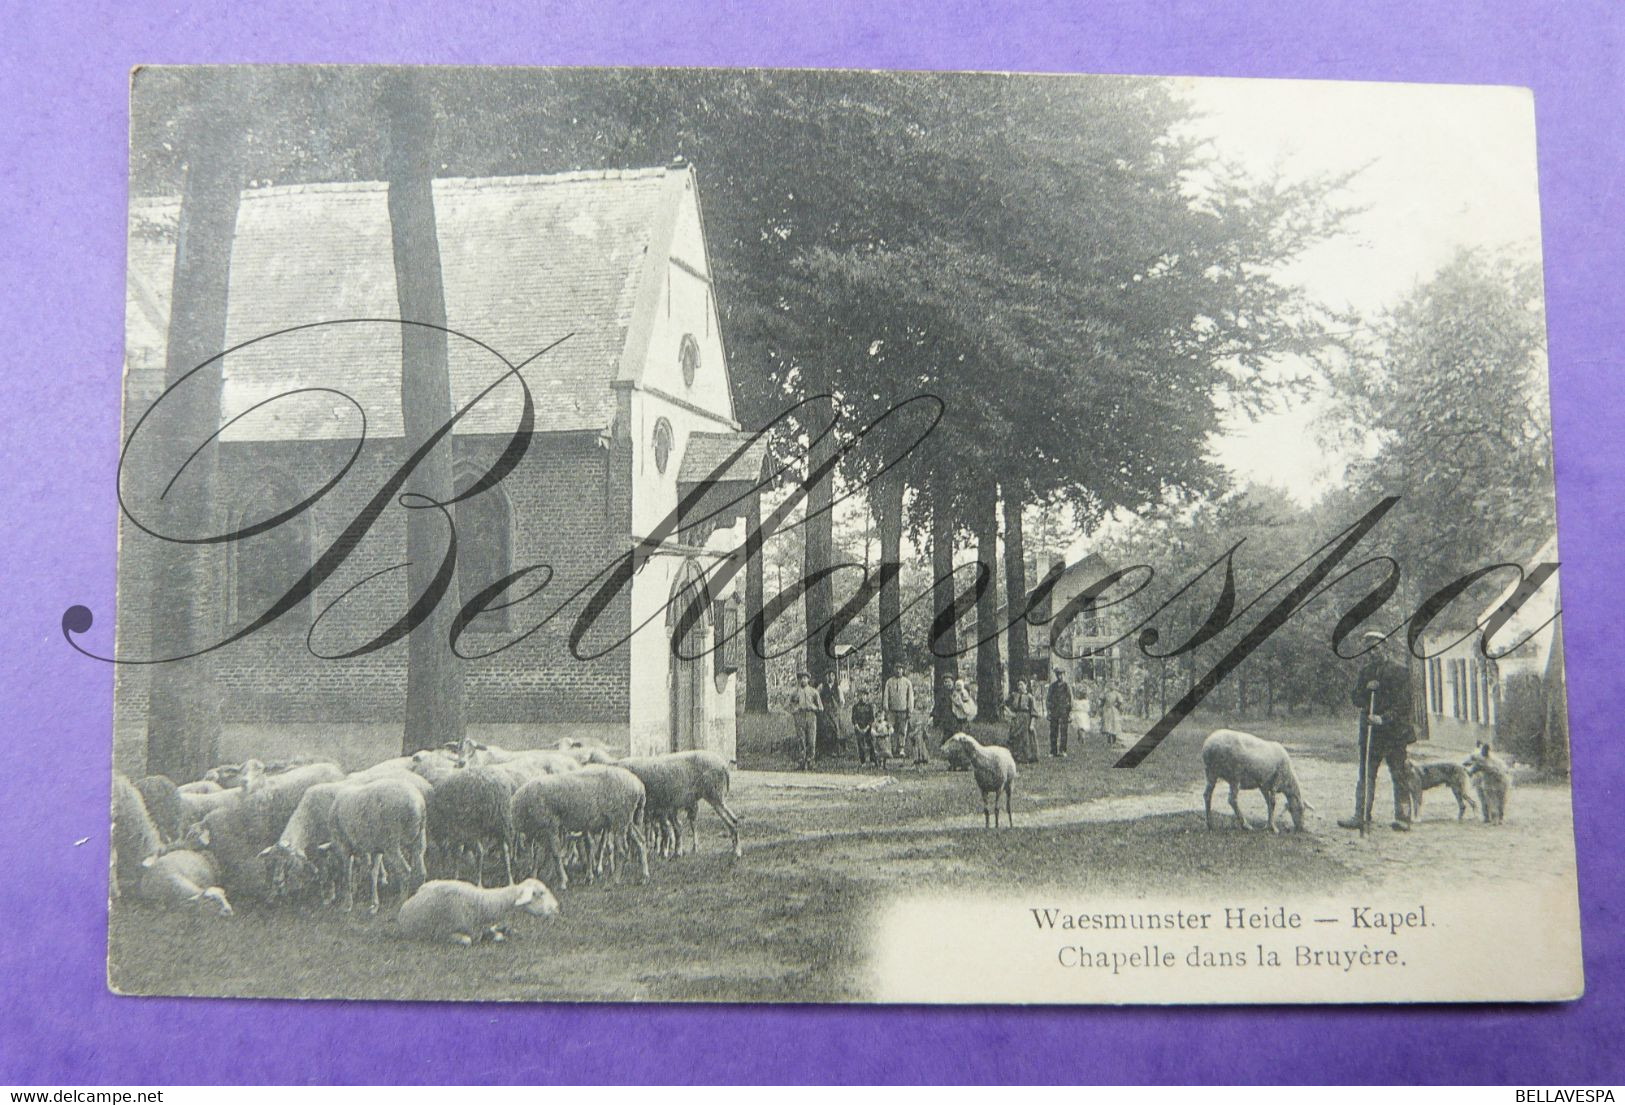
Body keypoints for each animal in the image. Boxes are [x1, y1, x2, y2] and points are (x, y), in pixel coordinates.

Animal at [326, 773, 429, 910]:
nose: (328, 898)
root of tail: (417, 803)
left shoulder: (344, 847)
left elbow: (347, 874)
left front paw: (348, 904)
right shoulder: (376, 849)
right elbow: (373, 873)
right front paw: (374, 903)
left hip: (392, 842)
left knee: (404, 871)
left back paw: (400, 902)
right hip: (419, 837)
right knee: (421, 871)